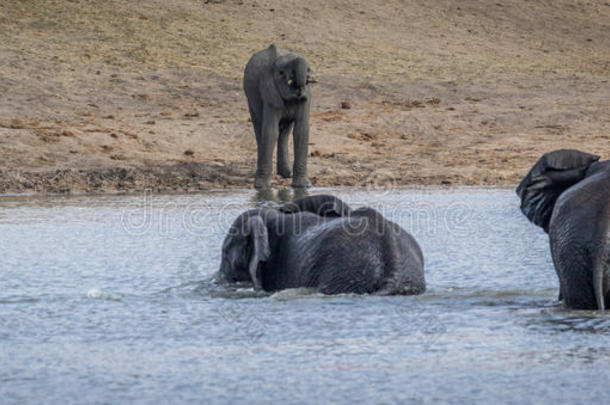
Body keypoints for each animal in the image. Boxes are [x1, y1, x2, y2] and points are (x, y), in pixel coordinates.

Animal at [241, 44, 312, 189]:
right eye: (281, 73)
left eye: (309, 71)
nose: (300, 91)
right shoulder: (269, 93)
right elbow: (270, 131)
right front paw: (262, 187)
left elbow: (301, 131)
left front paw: (302, 186)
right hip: (250, 97)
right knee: (259, 127)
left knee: (285, 132)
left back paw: (285, 174)